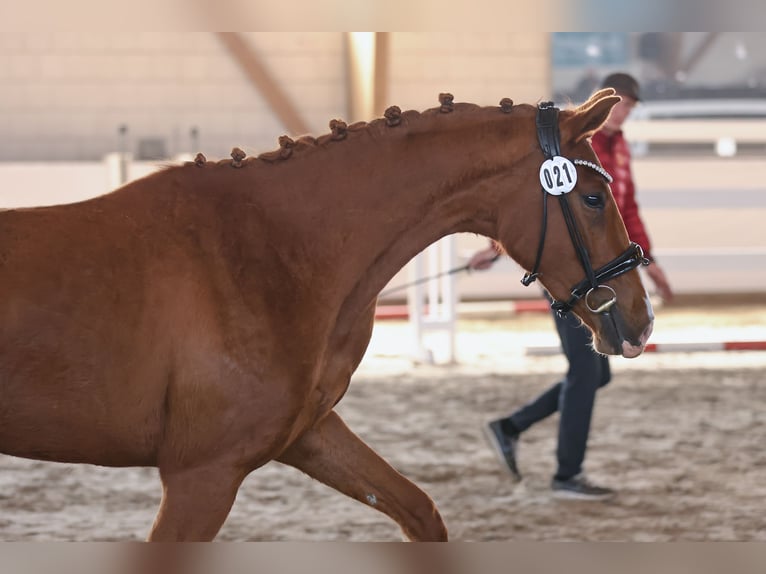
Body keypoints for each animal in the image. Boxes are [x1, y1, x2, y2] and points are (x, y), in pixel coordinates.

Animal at [0, 89, 653, 541]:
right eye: (592, 198)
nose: (641, 320)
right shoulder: (200, 475)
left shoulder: (306, 435)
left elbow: (421, 513)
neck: (267, 252)